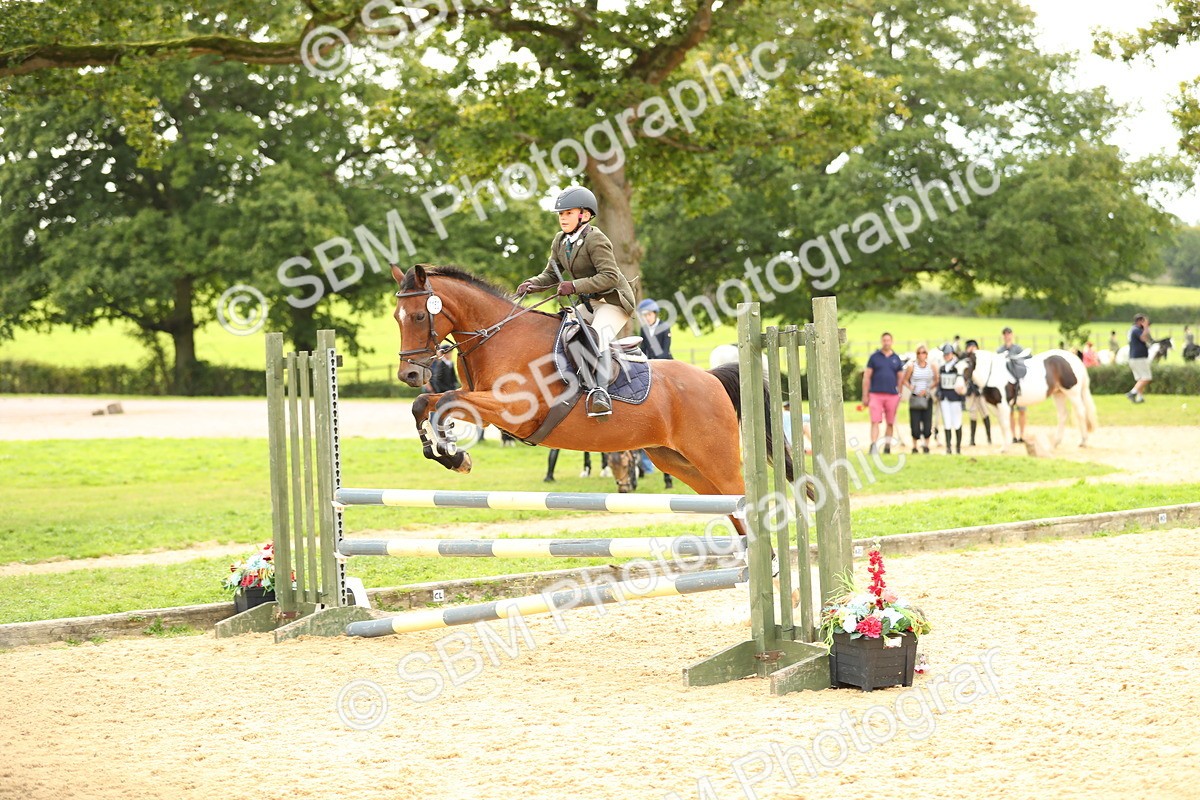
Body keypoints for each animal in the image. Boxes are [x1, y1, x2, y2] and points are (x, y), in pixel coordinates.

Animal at [390, 264, 805, 524]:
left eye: (419, 316)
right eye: (396, 316)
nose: (409, 373)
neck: (498, 336)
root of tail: (712, 378)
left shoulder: (513, 411)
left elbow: (444, 403)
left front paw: (454, 455)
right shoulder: (480, 400)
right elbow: (424, 405)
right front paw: (446, 454)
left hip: (714, 457)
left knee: (745, 499)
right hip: (679, 460)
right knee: (731, 508)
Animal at [953, 349, 1098, 453]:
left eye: (968, 366)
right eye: (955, 367)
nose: (959, 388)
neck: (992, 373)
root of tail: (1075, 359)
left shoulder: (1003, 405)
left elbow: (1005, 425)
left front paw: (1005, 448)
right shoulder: (994, 405)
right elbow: (1002, 425)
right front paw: (1004, 446)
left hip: (1072, 393)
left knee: (1081, 413)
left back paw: (1083, 442)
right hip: (1058, 394)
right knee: (1062, 415)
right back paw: (1055, 443)